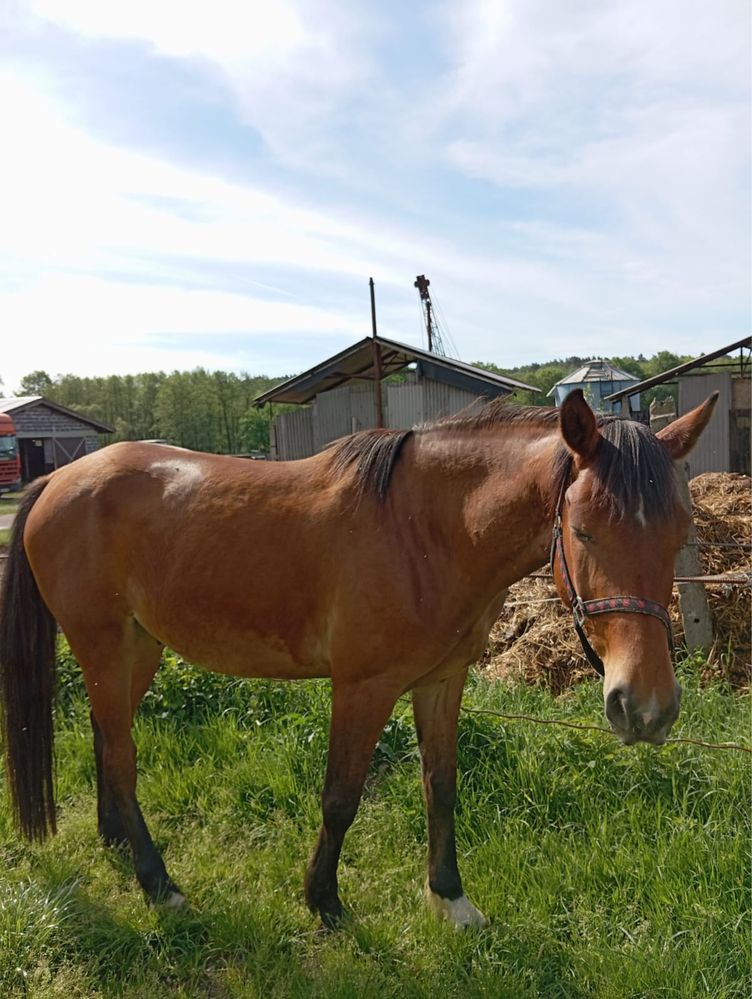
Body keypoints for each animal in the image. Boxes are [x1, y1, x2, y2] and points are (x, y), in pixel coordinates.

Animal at [0, 388, 716, 928]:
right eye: (583, 530)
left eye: (679, 533)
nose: (646, 708)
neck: (426, 531)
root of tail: (57, 478)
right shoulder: (362, 688)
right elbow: (341, 797)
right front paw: (323, 901)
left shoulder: (441, 682)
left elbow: (441, 785)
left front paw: (451, 898)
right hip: (101, 643)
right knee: (122, 758)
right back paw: (159, 884)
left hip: (139, 646)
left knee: (107, 737)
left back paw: (118, 843)